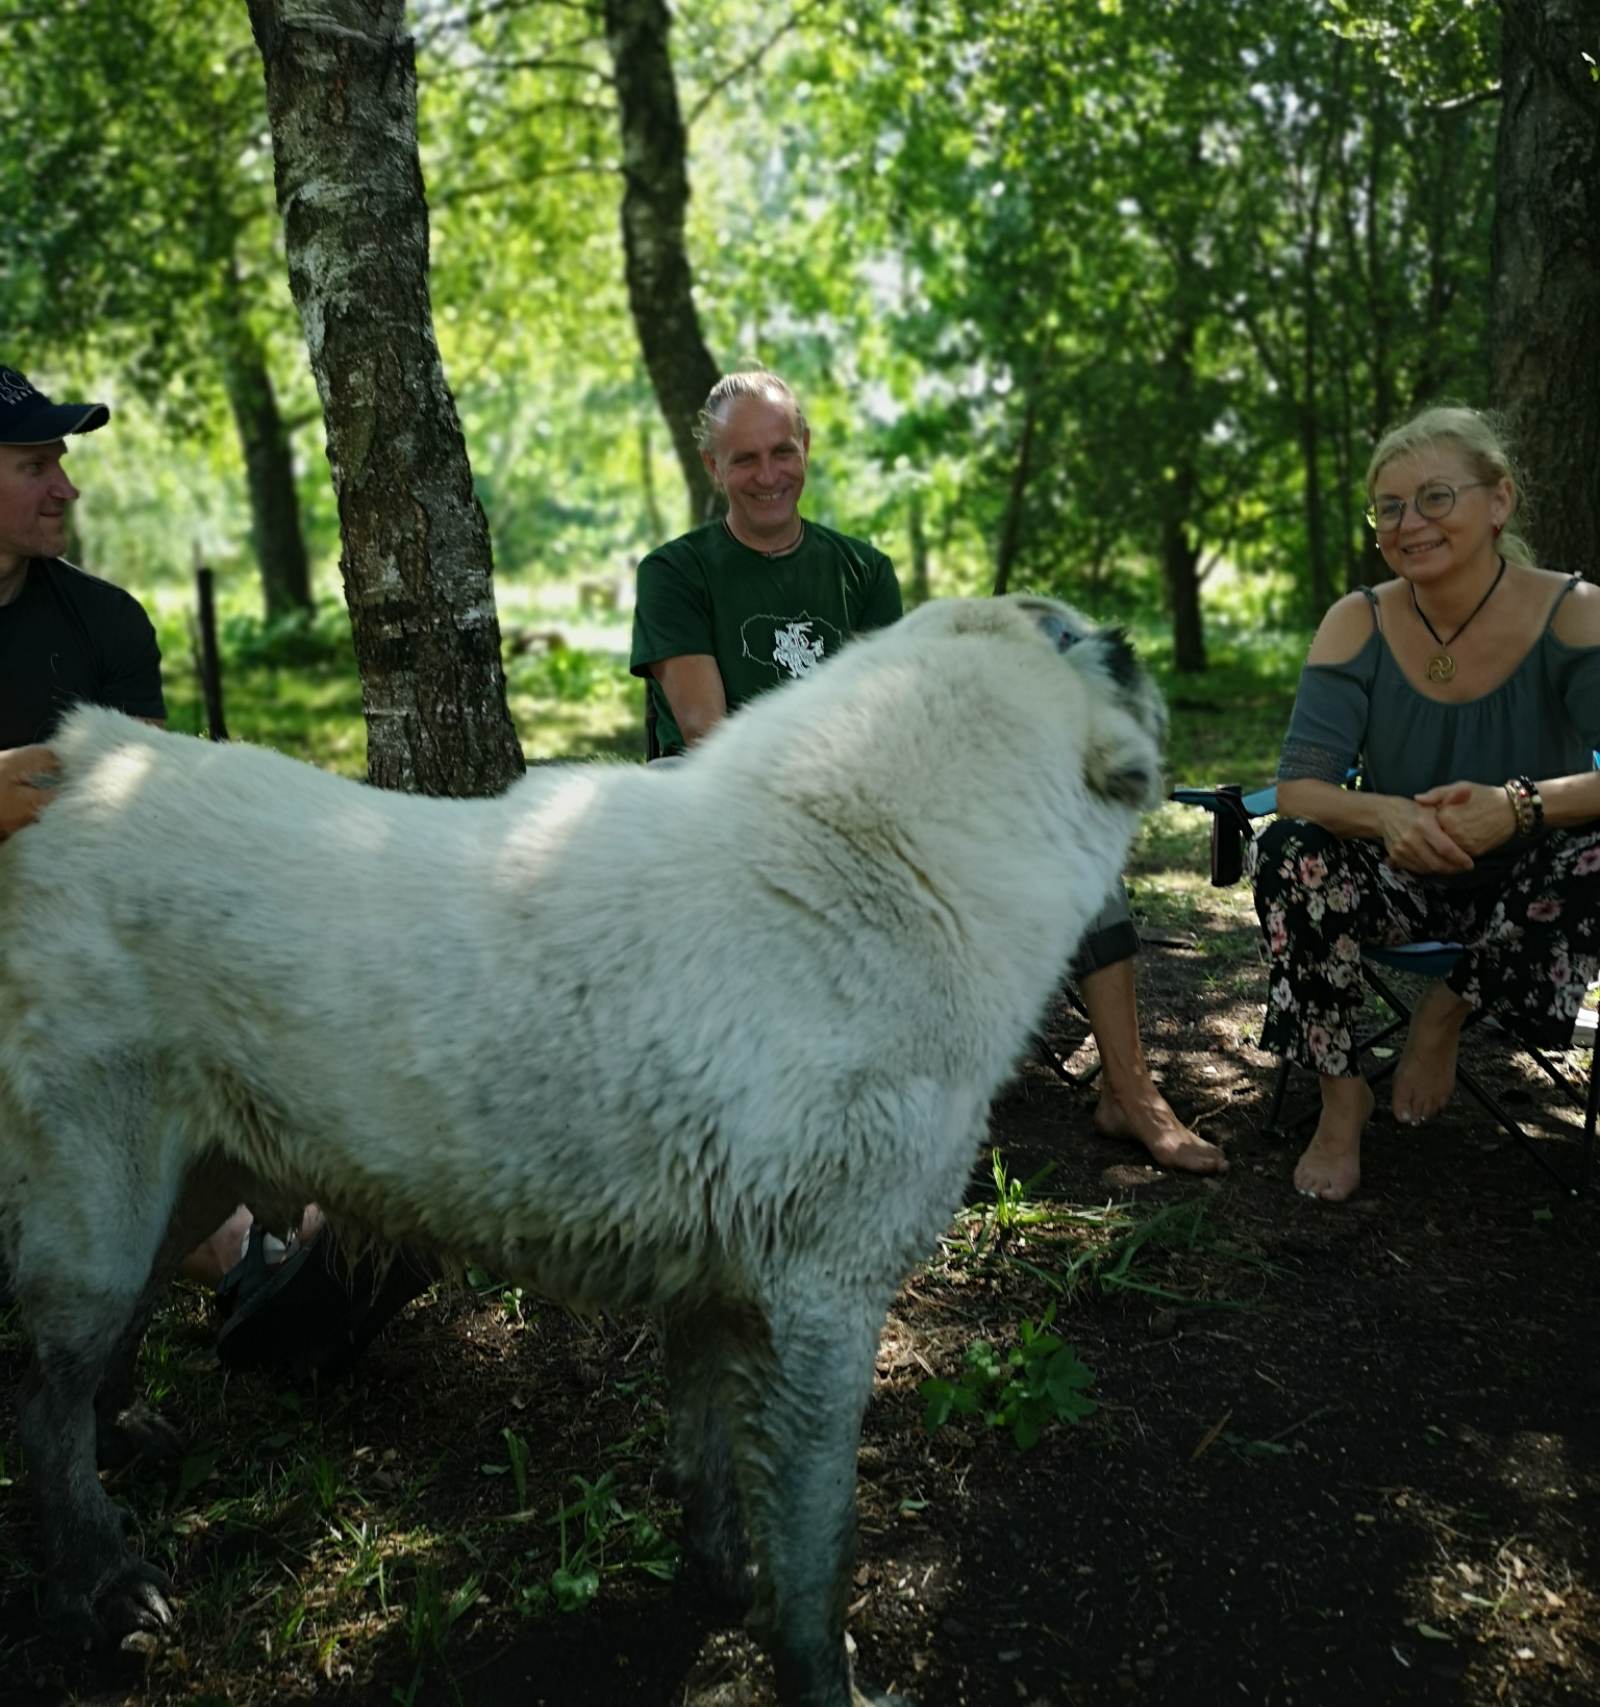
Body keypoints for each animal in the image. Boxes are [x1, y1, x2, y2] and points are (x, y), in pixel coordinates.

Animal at [0, 590, 1154, 1707]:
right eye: (1073, 636)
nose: (1132, 638)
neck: (885, 865)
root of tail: (86, 761)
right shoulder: (822, 1309)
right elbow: (818, 1558)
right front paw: (824, 1680)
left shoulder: (722, 1297)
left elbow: (708, 1471)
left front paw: (720, 1583)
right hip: (100, 1219)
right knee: (44, 1394)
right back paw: (99, 1586)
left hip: (181, 1191)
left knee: (99, 1358)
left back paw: (123, 1450)